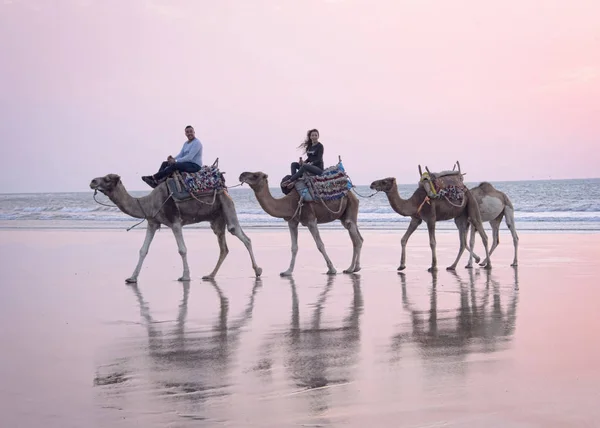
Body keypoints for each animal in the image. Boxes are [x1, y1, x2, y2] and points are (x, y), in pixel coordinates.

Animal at [88, 172, 262, 282]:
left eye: (107, 179)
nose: (92, 181)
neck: (148, 203)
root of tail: (225, 189)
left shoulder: (175, 221)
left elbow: (182, 249)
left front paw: (185, 276)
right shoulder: (153, 222)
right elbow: (143, 250)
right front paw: (132, 278)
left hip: (227, 205)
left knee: (241, 235)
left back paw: (258, 270)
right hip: (217, 219)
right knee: (224, 247)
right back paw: (210, 275)